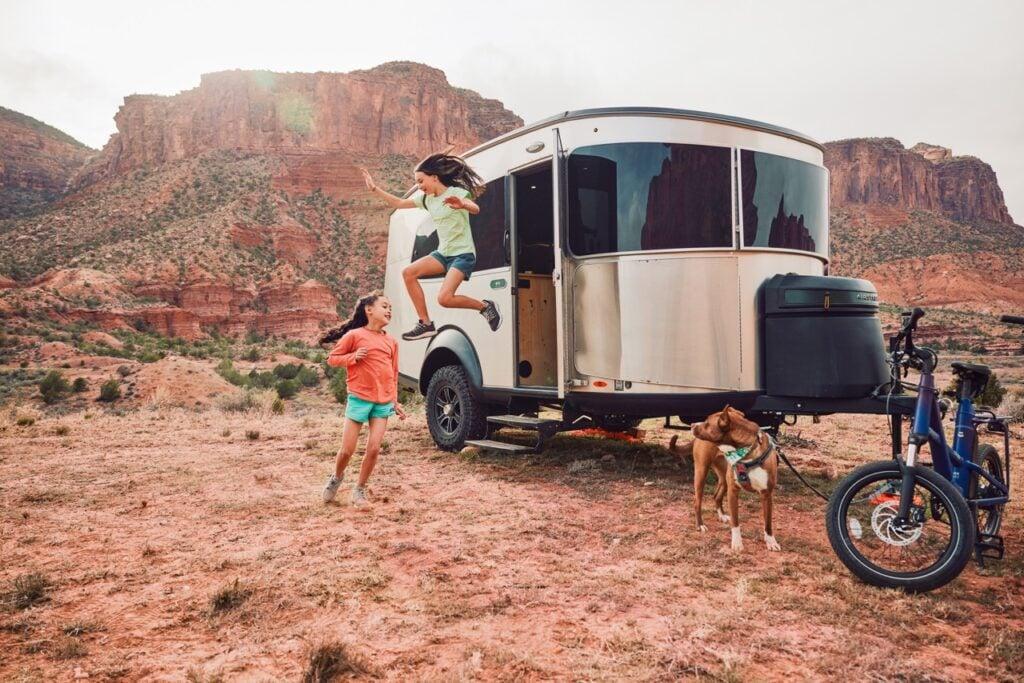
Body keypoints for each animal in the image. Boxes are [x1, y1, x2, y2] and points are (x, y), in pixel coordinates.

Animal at [667, 405, 778, 548]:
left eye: (707, 423)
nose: (692, 425)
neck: (747, 453)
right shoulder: (733, 492)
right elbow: (735, 522)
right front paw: (737, 544)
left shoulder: (767, 494)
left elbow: (768, 522)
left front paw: (771, 541)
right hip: (701, 472)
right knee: (697, 502)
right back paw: (700, 524)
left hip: (723, 477)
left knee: (716, 496)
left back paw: (722, 515)